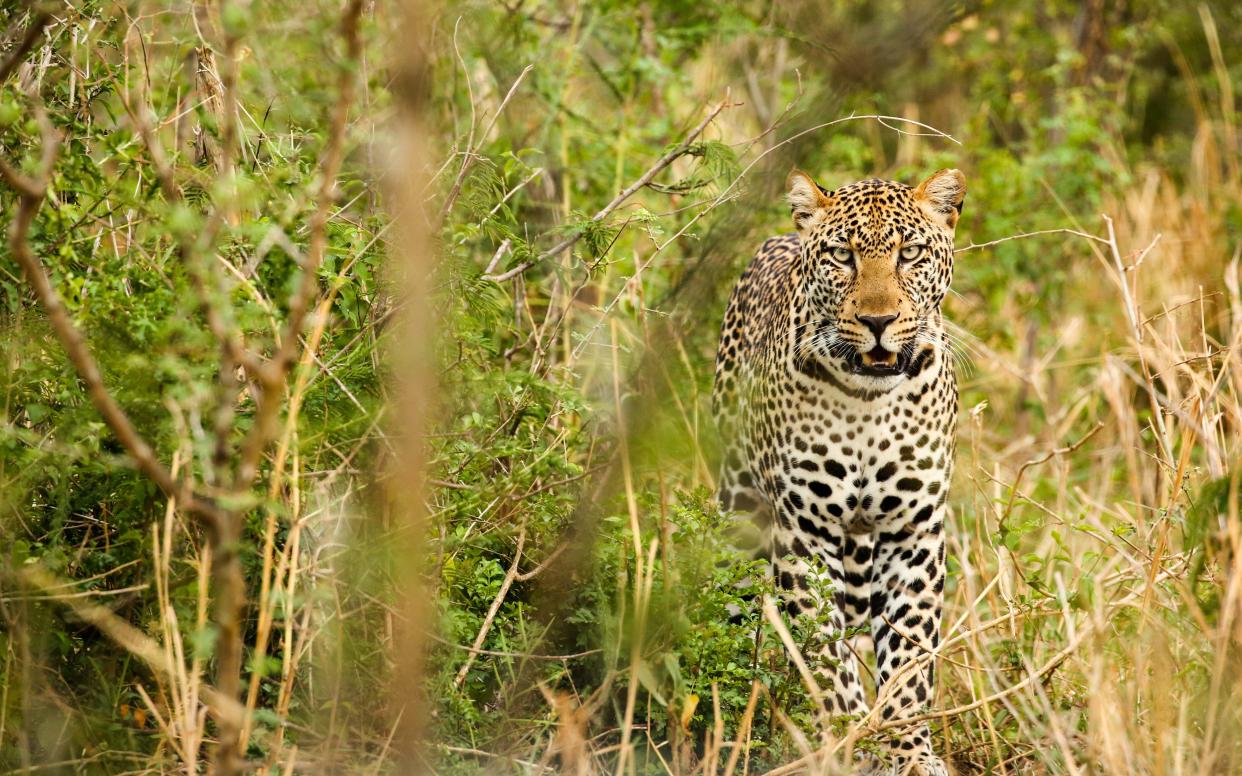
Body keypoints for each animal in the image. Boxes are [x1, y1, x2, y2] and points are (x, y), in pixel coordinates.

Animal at [715, 166, 963, 769]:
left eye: (909, 253)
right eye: (842, 256)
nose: (878, 321)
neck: (867, 402)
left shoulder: (913, 532)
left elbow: (909, 654)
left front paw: (906, 750)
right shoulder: (805, 532)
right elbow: (824, 653)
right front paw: (849, 736)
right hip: (739, 512)